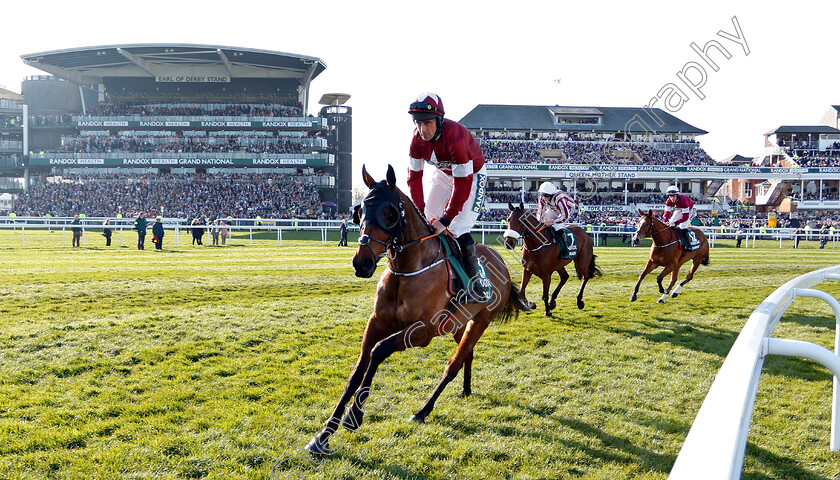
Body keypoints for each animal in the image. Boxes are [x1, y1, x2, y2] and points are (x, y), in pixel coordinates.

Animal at [306, 165, 532, 454]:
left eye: (390, 213)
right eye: (359, 211)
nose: (362, 263)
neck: (408, 268)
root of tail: (501, 262)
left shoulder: (423, 331)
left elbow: (378, 352)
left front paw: (354, 416)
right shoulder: (377, 322)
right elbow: (357, 370)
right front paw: (323, 435)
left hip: (480, 321)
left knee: (453, 364)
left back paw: (423, 411)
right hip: (458, 323)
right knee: (467, 355)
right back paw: (465, 389)